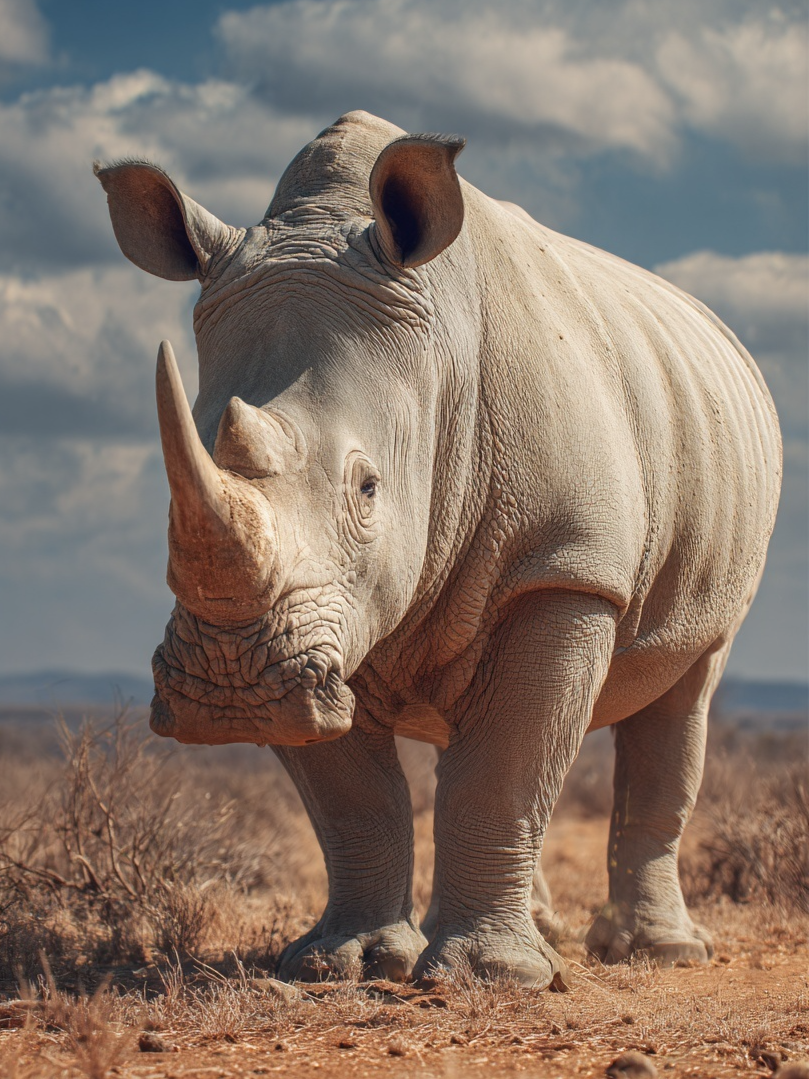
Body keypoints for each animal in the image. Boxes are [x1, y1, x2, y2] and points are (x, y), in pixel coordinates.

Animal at [95, 111, 781, 989]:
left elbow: (502, 772)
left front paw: (489, 978)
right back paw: (549, 935)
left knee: (682, 689)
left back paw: (659, 954)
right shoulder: (321, 627)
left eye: (367, 488)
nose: (228, 686)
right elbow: (360, 797)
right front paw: (345, 962)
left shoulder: (561, 564)